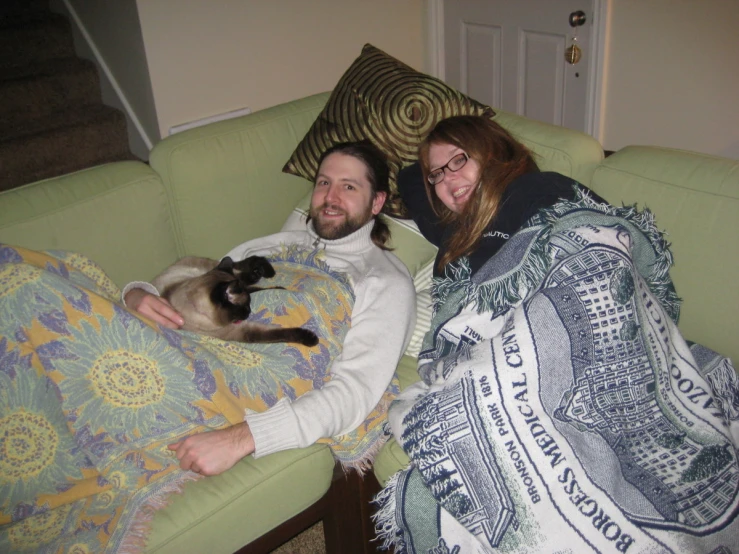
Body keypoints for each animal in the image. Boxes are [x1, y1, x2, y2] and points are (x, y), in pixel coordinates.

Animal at [152, 256, 320, 344]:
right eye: (245, 308)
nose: (249, 312)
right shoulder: (241, 332)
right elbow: (275, 334)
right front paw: (312, 339)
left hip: (229, 274)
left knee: (242, 269)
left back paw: (267, 275)